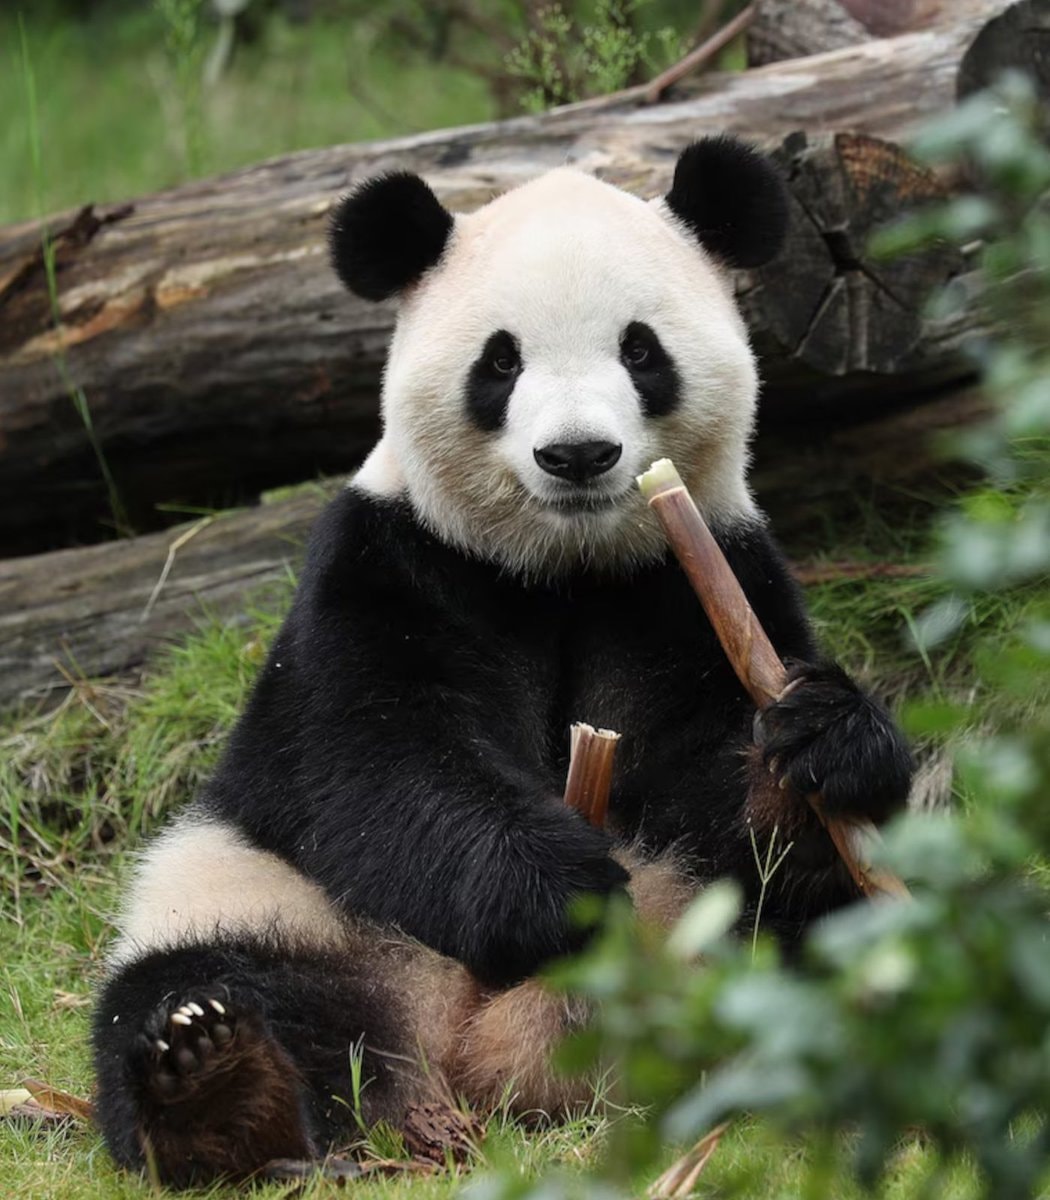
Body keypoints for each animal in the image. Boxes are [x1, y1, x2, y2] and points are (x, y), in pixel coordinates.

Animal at [91, 136, 913, 1187]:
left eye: (640, 349)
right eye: (501, 360)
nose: (579, 455)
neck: (563, 567)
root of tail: (475, 1062)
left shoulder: (698, 576)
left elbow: (716, 775)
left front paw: (815, 746)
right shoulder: (388, 563)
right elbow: (373, 758)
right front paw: (557, 891)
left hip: (704, 929)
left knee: (819, 933)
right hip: (266, 898)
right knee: (200, 985)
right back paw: (220, 1087)